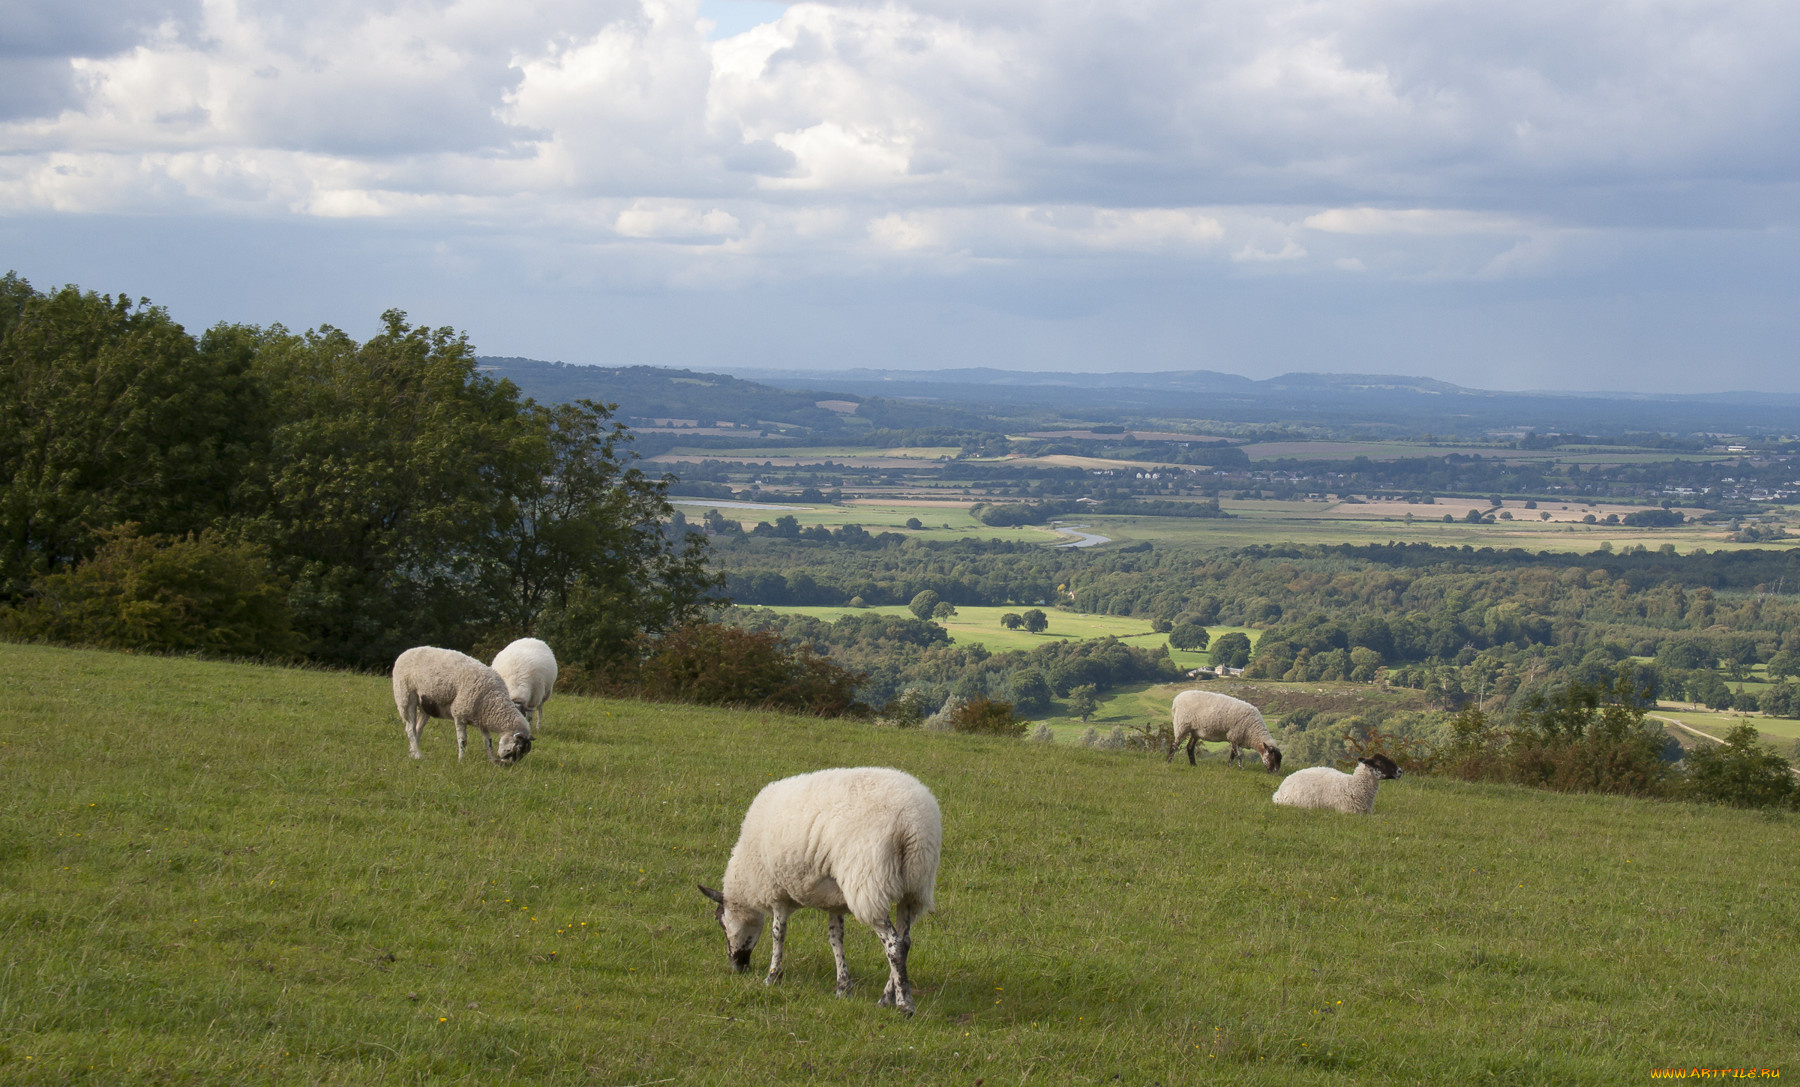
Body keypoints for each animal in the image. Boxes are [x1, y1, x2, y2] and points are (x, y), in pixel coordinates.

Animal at [390, 644, 529, 763]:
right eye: (515, 749)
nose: (507, 766)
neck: (492, 701)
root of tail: (405, 653)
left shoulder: (481, 720)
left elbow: (488, 741)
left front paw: (491, 761)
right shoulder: (459, 714)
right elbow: (462, 740)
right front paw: (461, 760)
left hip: (426, 705)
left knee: (417, 728)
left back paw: (413, 753)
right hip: (406, 697)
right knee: (409, 729)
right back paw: (418, 755)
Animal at [694, 770, 943, 1015]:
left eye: (720, 920)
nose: (737, 967)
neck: (747, 878)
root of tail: (912, 822)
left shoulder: (776, 892)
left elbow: (778, 933)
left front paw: (772, 977)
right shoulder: (835, 902)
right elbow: (835, 939)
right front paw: (843, 988)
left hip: (869, 883)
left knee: (894, 944)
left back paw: (904, 1004)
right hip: (915, 886)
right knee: (905, 940)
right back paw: (886, 997)